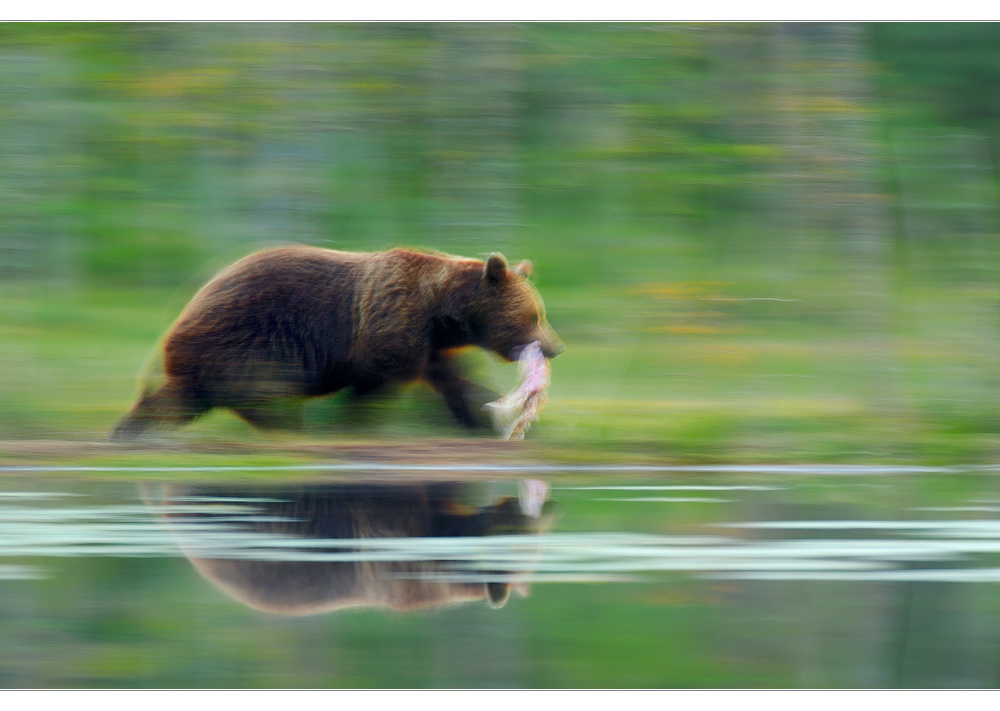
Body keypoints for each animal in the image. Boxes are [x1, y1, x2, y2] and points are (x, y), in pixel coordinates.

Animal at [111, 249, 564, 440]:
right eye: (534, 316)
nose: (555, 347)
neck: (443, 313)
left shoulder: (433, 346)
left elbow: (458, 384)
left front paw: (484, 419)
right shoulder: (391, 327)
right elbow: (376, 384)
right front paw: (352, 425)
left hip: (210, 363)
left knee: (171, 401)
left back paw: (130, 431)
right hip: (248, 341)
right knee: (270, 398)